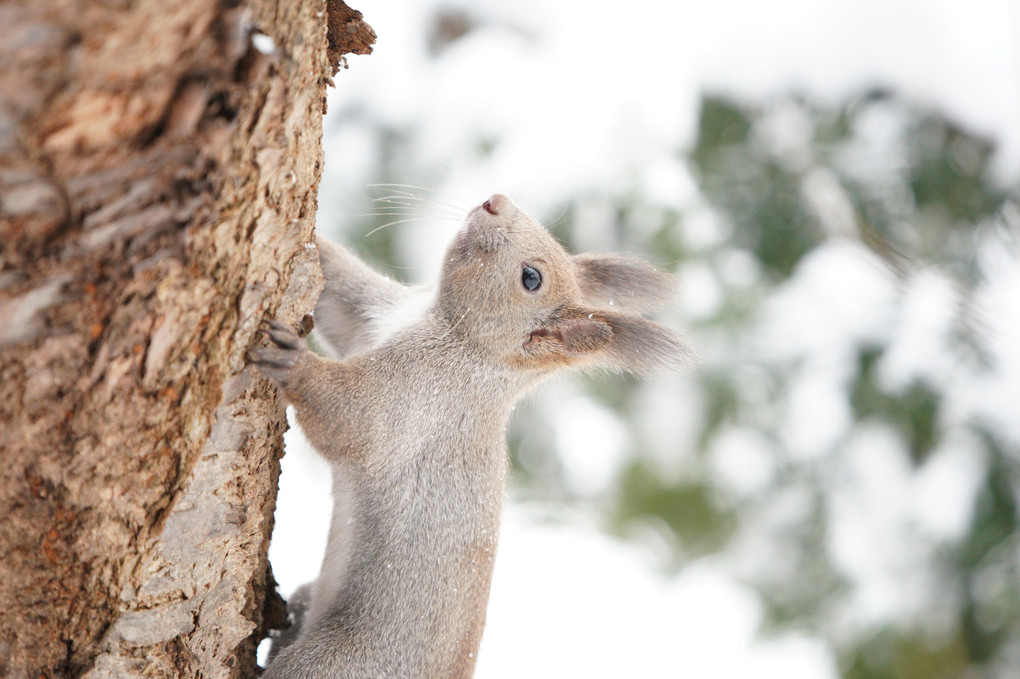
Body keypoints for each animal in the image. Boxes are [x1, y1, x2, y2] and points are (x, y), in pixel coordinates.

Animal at [251, 192, 693, 672]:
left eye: (531, 278)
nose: (495, 202)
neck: (459, 337)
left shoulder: (419, 396)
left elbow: (349, 416)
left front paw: (294, 362)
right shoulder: (373, 314)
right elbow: (339, 296)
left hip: (334, 663)